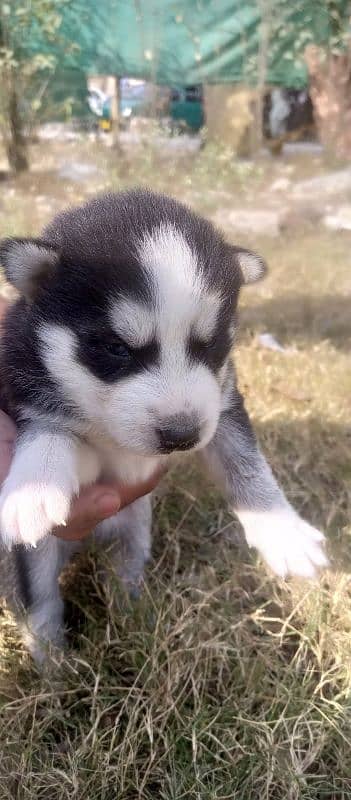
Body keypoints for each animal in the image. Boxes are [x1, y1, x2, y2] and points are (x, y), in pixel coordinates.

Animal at [0, 189, 328, 664]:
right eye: (116, 348)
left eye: (210, 344)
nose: (181, 436)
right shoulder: (26, 390)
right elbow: (50, 429)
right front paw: (34, 487)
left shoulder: (221, 403)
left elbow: (245, 463)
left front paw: (282, 531)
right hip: (34, 561)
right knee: (41, 607)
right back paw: (56, 666)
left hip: (135, 531)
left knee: (125, 570)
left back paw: (131, 612)